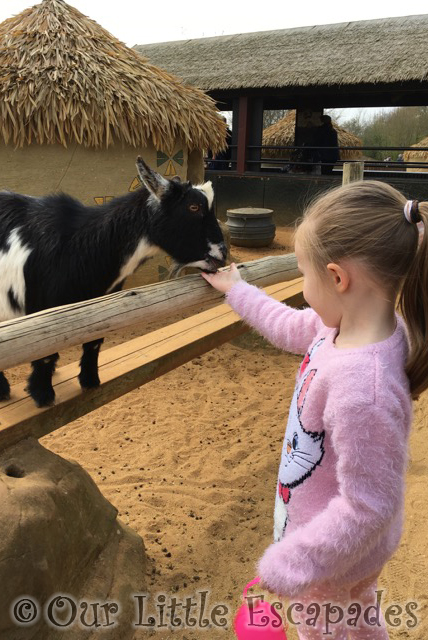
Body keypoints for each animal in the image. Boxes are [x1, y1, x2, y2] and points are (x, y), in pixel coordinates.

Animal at [0, 156, 227, 404]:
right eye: (193, 207)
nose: (222, 254)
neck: (79, 246)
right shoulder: (41, 312)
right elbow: (46, 355)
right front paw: (43, 395)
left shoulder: (102, 306)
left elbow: (93, 342)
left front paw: (90, 382)